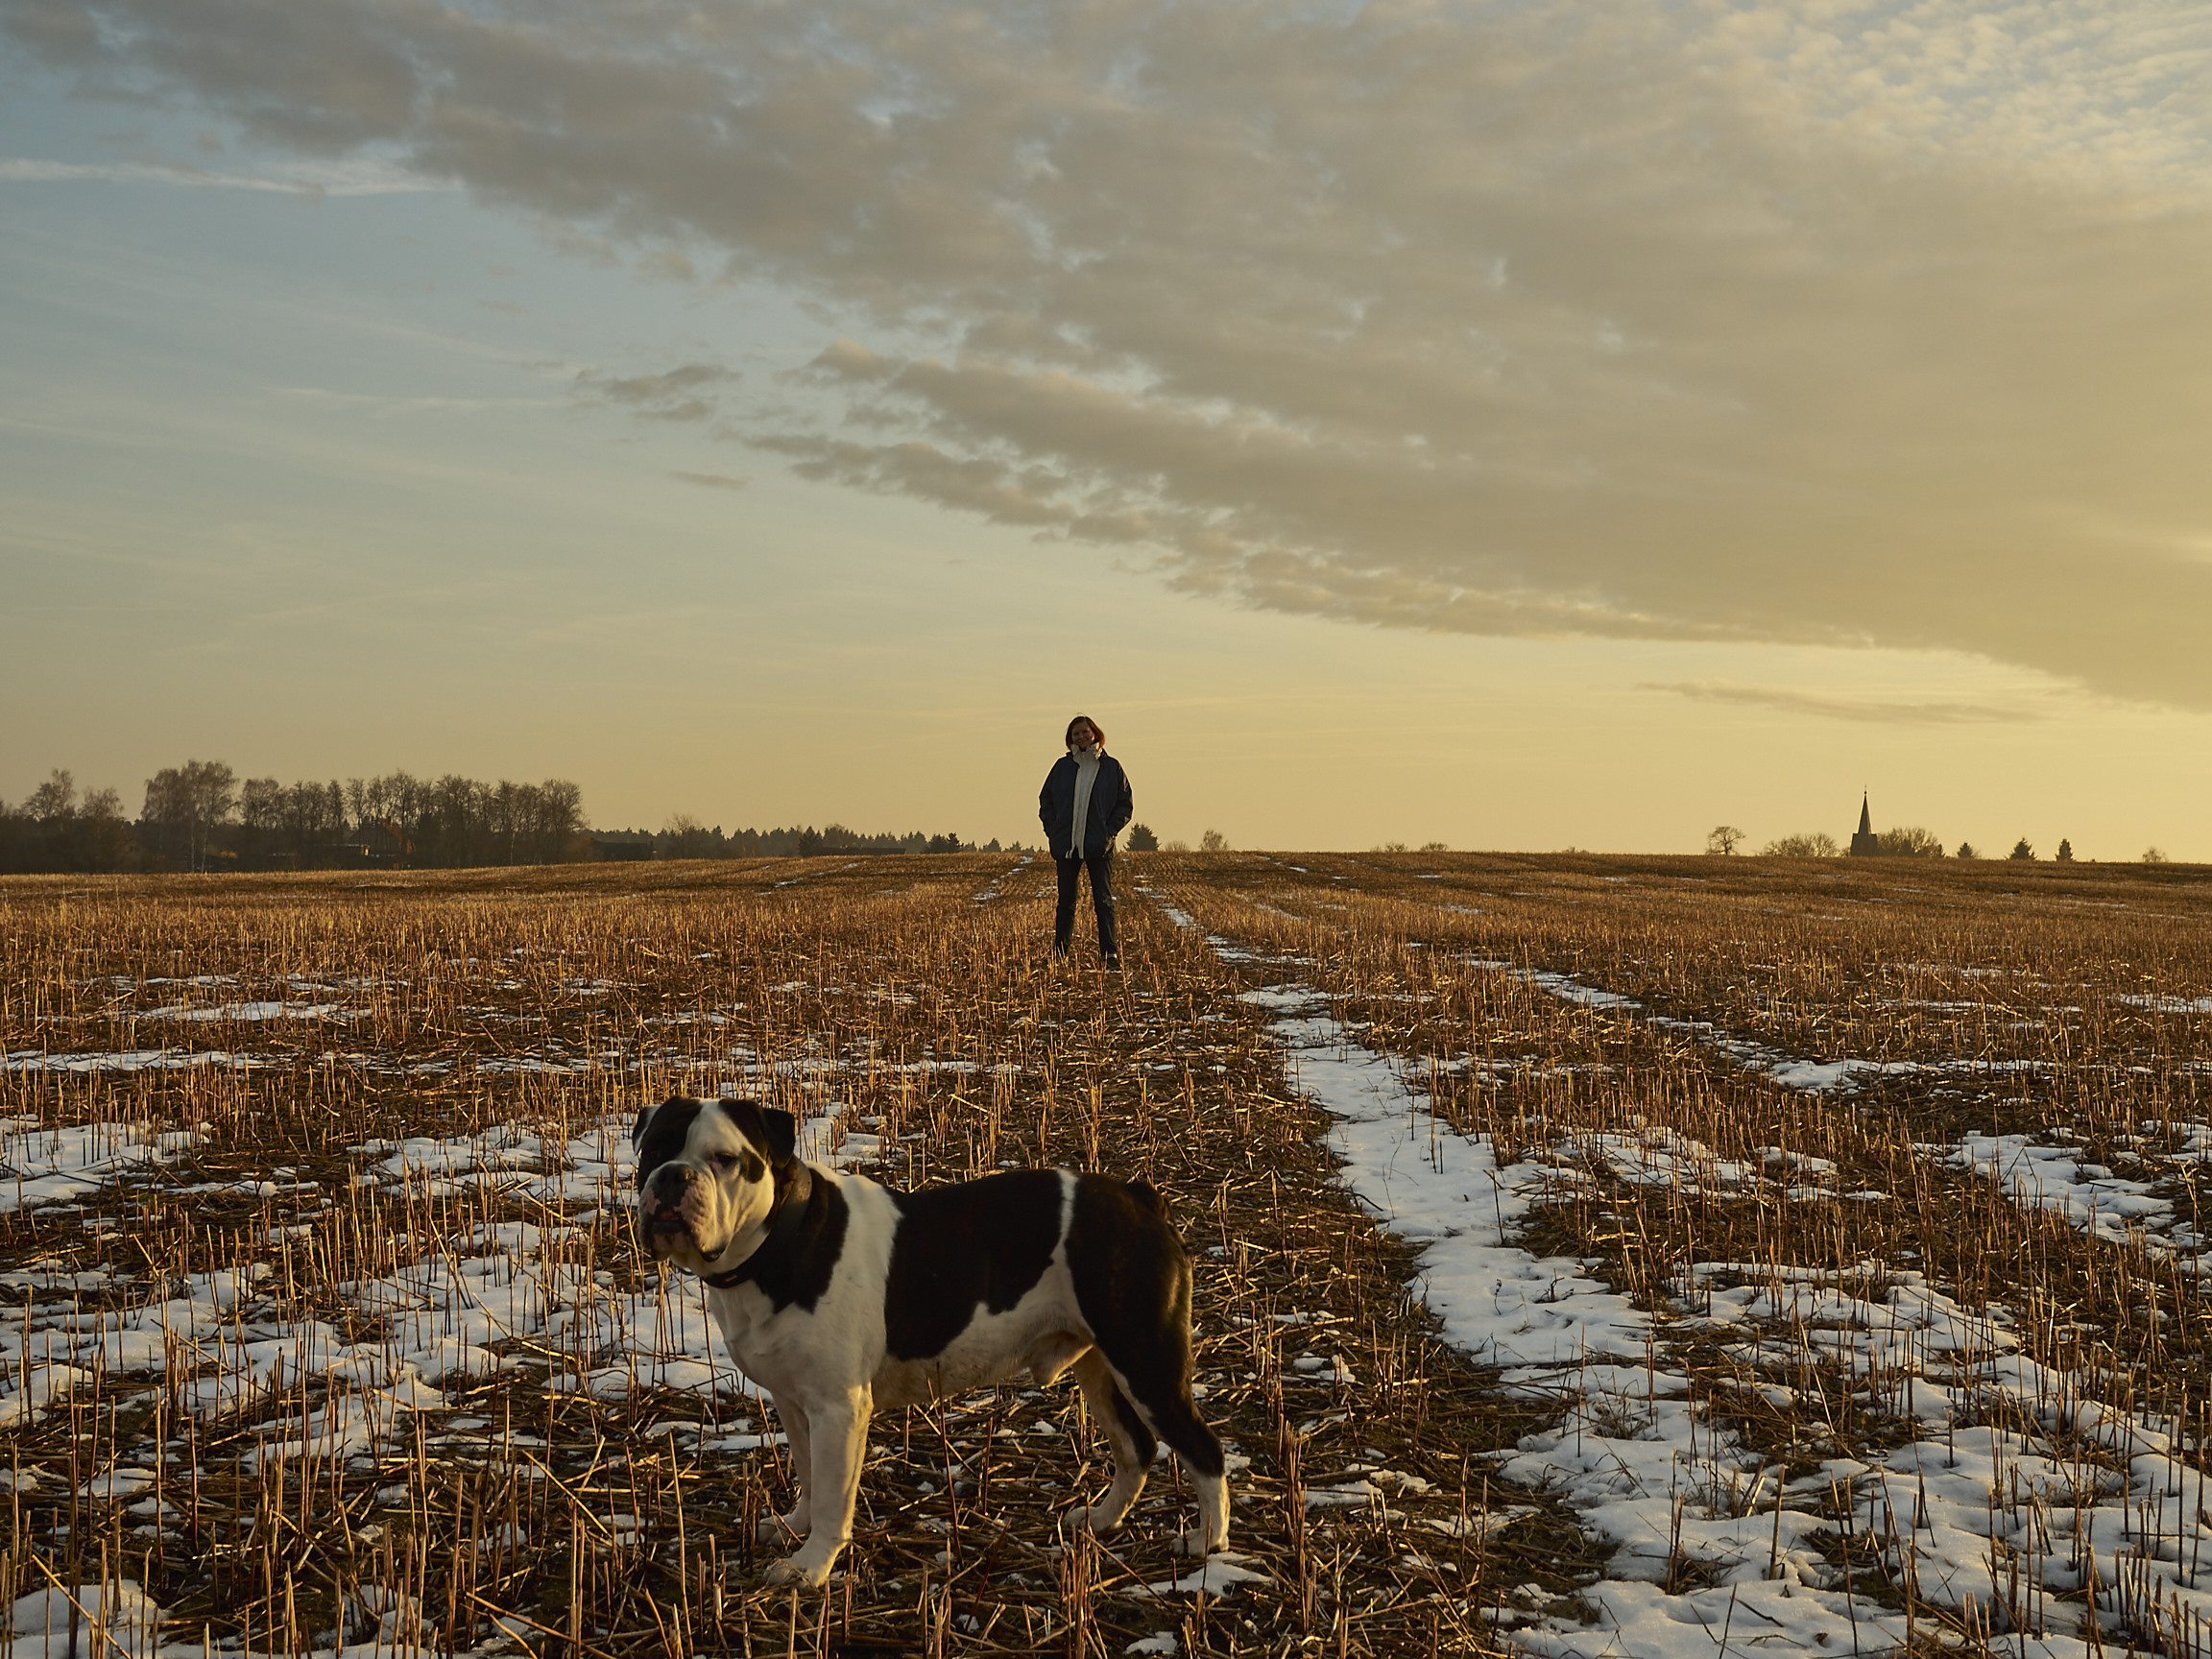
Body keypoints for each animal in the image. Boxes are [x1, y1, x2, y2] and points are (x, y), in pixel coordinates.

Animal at [632, 1096, 1238, 1592]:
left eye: (724, 1159)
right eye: (653, 1150)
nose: (672, 1177)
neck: (778, 1237)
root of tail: (1140, 1198)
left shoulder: (837, 1407)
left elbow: (831, 1493)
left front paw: (811, 1566)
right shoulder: (796, 1402)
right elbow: (808, 1473)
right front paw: (795, 1527)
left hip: (1145, 1362)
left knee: (1203, 1451)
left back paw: (1205, 1544)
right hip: (1099, 1365)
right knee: (1136, 1447)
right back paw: (1099, 1521)